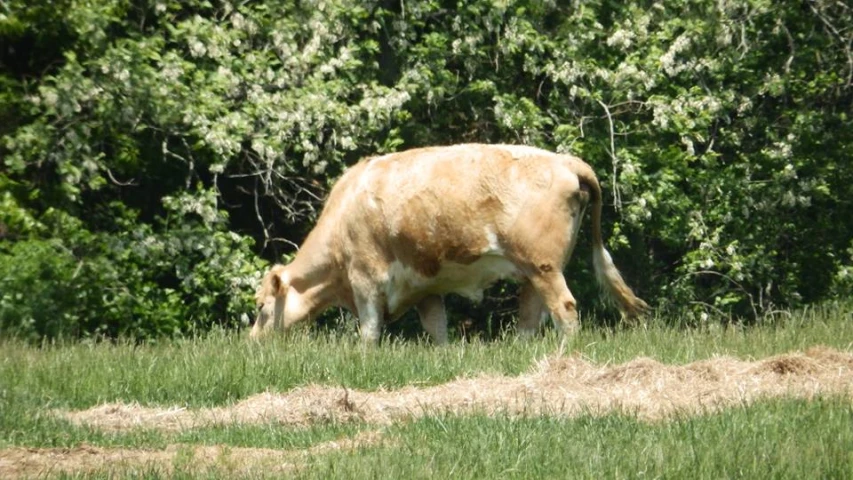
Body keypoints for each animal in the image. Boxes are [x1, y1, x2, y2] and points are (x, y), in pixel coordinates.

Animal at [251, 144, 644, 344]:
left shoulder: (365, 278)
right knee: (530, 319)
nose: (252, 340)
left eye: (261, 307)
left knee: (565, 309)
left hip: (544, 267)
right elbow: (437, 329)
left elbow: (369, 331)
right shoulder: (425, 288)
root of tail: (566, 161)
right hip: (532, 272)